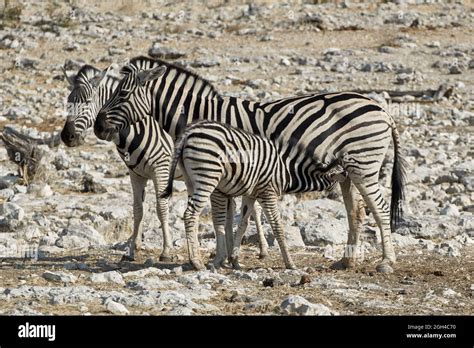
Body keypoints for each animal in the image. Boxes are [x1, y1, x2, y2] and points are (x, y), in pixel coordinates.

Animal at [160, 121, 348, 270]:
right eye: (342, 177)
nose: (335, 197)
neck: (286, 170)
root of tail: (188, 132)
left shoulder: (251, 194)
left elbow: (242, 224)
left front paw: (235, 259)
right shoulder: (268, 192)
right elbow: (277, 227)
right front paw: (290, 263)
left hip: (191, 180)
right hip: (208, 177)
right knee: (190, 214)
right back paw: (196, 262)